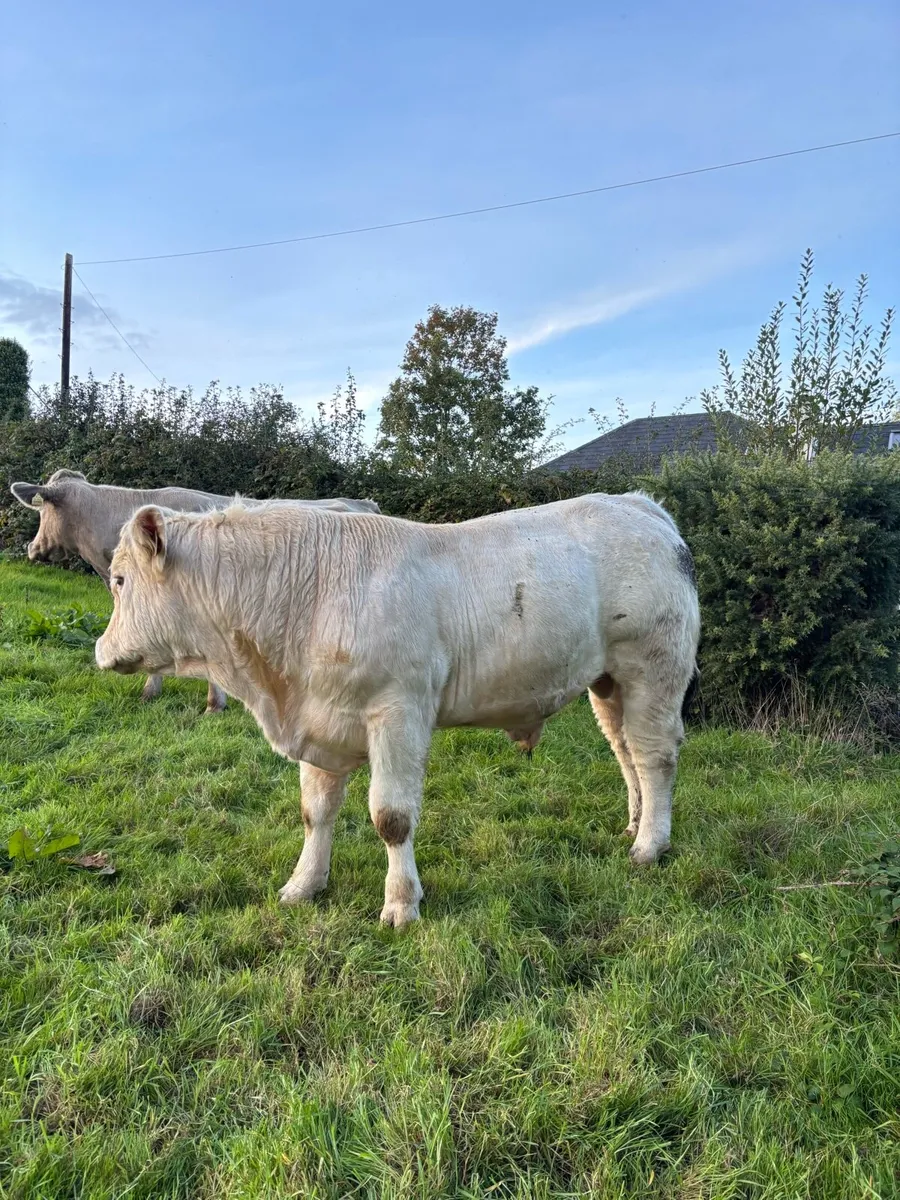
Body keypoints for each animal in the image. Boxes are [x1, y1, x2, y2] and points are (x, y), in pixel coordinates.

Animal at [95, 492, 700, 927]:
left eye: (120, 580)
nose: (100, 650)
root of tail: (642, 506)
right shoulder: (319, 720)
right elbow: (316, 811)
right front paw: (304, 885)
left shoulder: (398, 712)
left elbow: (391, 816)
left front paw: (401, 903)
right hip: (606, 682)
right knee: (625, 750)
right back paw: (635, 821)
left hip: (654, 668)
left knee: (655, 756)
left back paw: (650, 844)